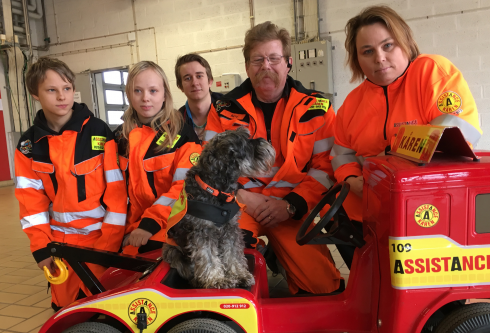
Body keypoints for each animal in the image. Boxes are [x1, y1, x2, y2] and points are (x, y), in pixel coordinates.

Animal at [162, 127, 274, 288]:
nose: (265, 141)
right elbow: (208, 258)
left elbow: (233, 254)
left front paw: (239, 275)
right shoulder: (202, 232)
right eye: (246, 142)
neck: (216, 189)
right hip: (172, 251)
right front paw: (217, 280)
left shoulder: (230, 229)